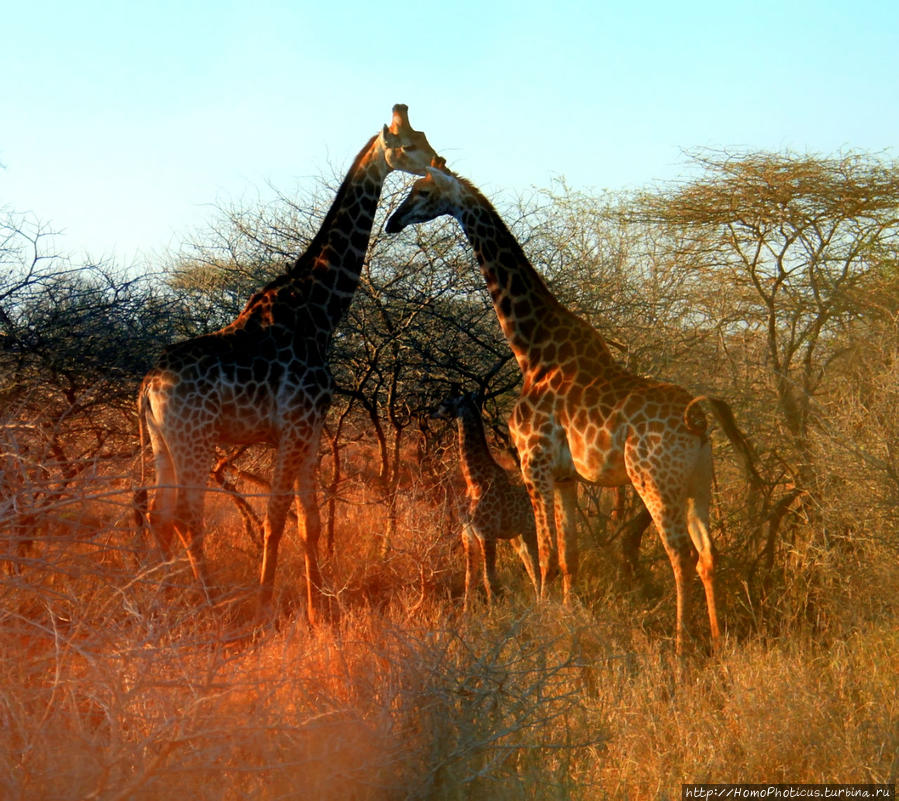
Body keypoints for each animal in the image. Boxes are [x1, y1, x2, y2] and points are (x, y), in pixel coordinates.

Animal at [136, 103, 440, 620]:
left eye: (424, 135)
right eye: (408, 144)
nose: (439, 160)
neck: (320, 311)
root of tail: (147, 386)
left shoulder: (311, 429)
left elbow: (309, 521)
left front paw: (319, 613)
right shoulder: (293, 425)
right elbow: (276, 517)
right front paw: (264, 609)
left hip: (163, 441)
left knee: (159, 516)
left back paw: (163, 603)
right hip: (195, 438)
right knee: (187, 517)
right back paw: (211, 606)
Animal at [430, 388, 536, 608]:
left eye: (445, 402)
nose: (431, 412)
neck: (474, 480)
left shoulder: (486, 534)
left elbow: (489, 578)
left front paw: (492, 612)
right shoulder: (468, 534)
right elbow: (469, 579)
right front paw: (466, 613)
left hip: (531, 529)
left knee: (541, 563)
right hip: (518, 535)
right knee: (531, 566)